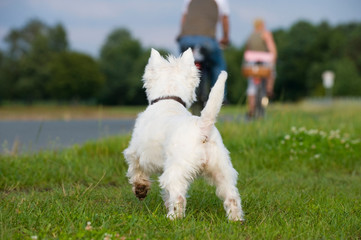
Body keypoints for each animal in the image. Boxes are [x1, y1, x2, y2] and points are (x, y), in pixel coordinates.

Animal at [124, 48, 245, 221]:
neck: (167, 99)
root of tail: (203, 127)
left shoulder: (136, 152)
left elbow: (136, 170)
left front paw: (141, 189)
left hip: (177, 169)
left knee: (179, 196)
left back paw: (173, 218)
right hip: (222, 169)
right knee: (232, 196)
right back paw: (236, 220)